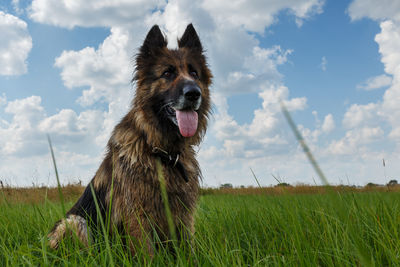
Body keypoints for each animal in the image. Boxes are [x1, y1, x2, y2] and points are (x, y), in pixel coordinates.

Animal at [48, 23, 212, 255]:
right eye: (167, 73)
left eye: (194, 73)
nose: (194, 93)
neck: (163, 152)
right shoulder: (137, 215)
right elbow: (148, 255)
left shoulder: (183, 215)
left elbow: (189, 251)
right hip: (75, 222)